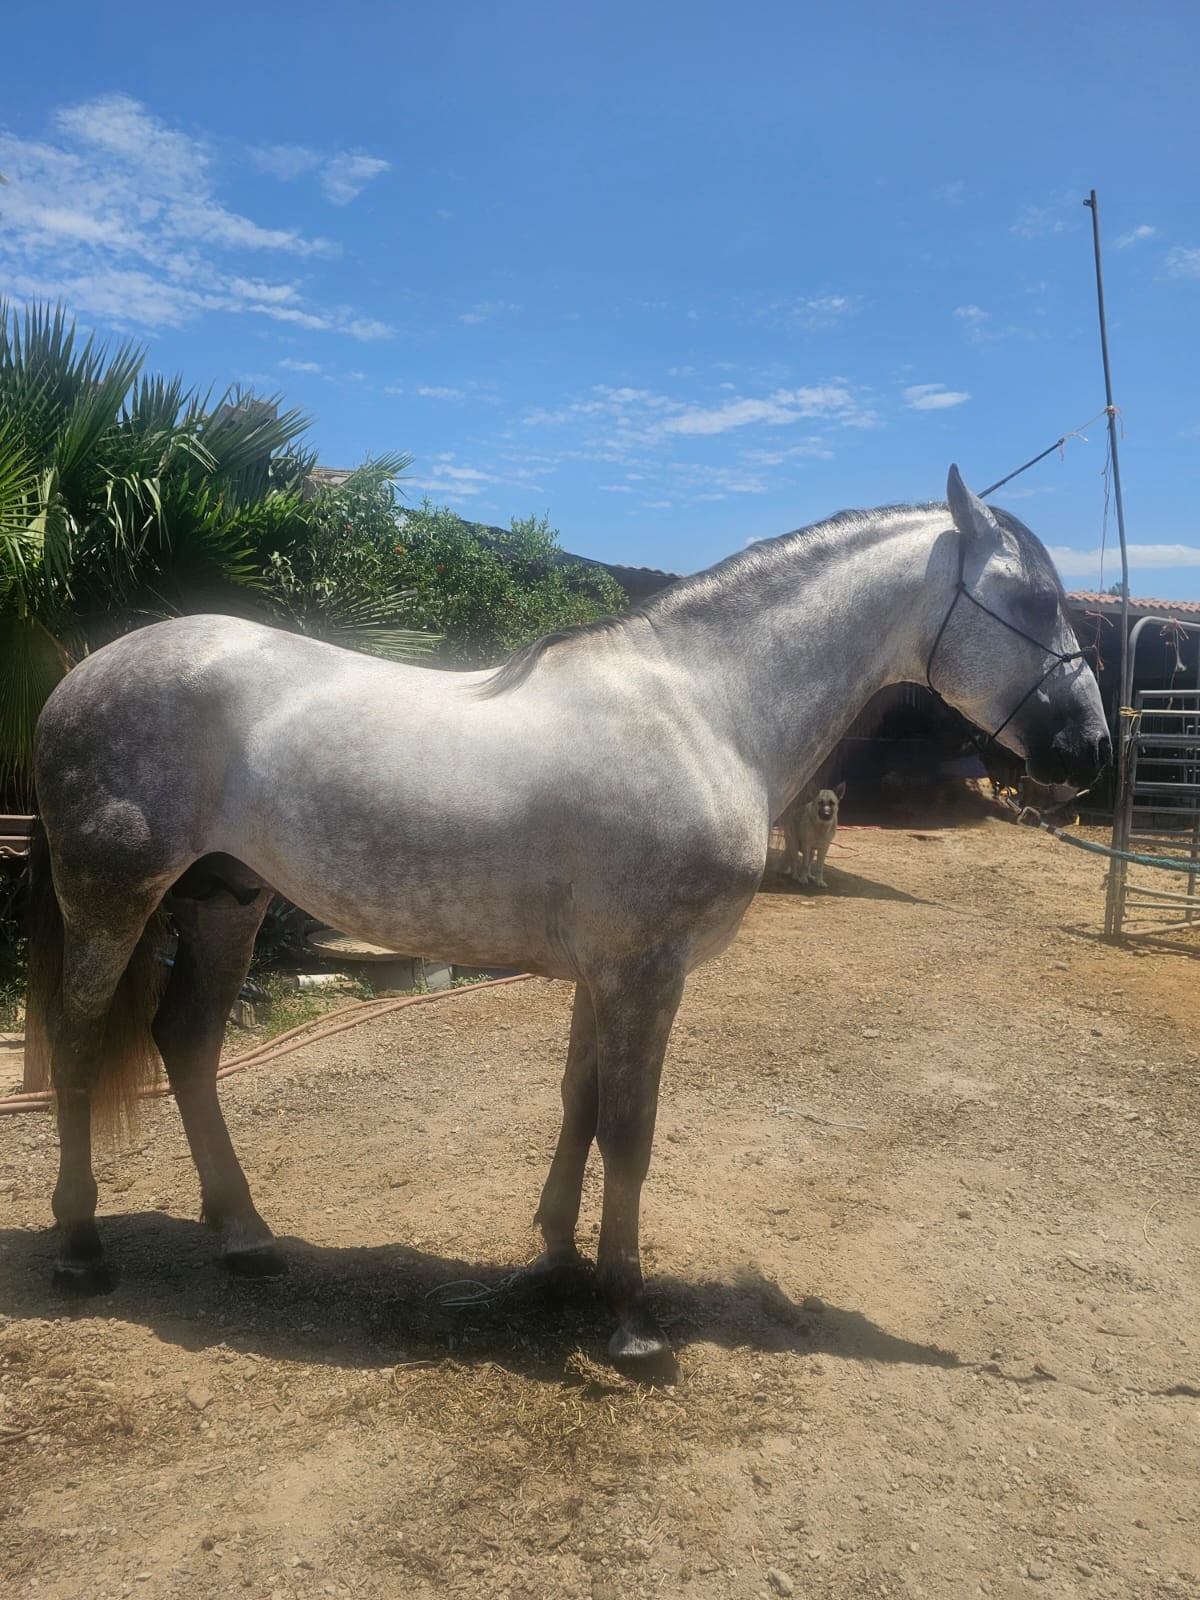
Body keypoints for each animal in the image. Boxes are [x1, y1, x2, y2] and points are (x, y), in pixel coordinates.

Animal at [24, 466, 1109, 1380]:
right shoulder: (646, 971)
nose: (1090, 748)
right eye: (1030, 600)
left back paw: (245, 1236)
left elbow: (579, 1107)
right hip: (113, 897)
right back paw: (79, 1250)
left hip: (225, 901)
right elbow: (630, 1131)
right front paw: (631, 1320)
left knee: (187, 1043)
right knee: (77, 1042)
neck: (703, 711)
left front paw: (555, 1263)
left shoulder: (607, 971)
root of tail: (84, 670)